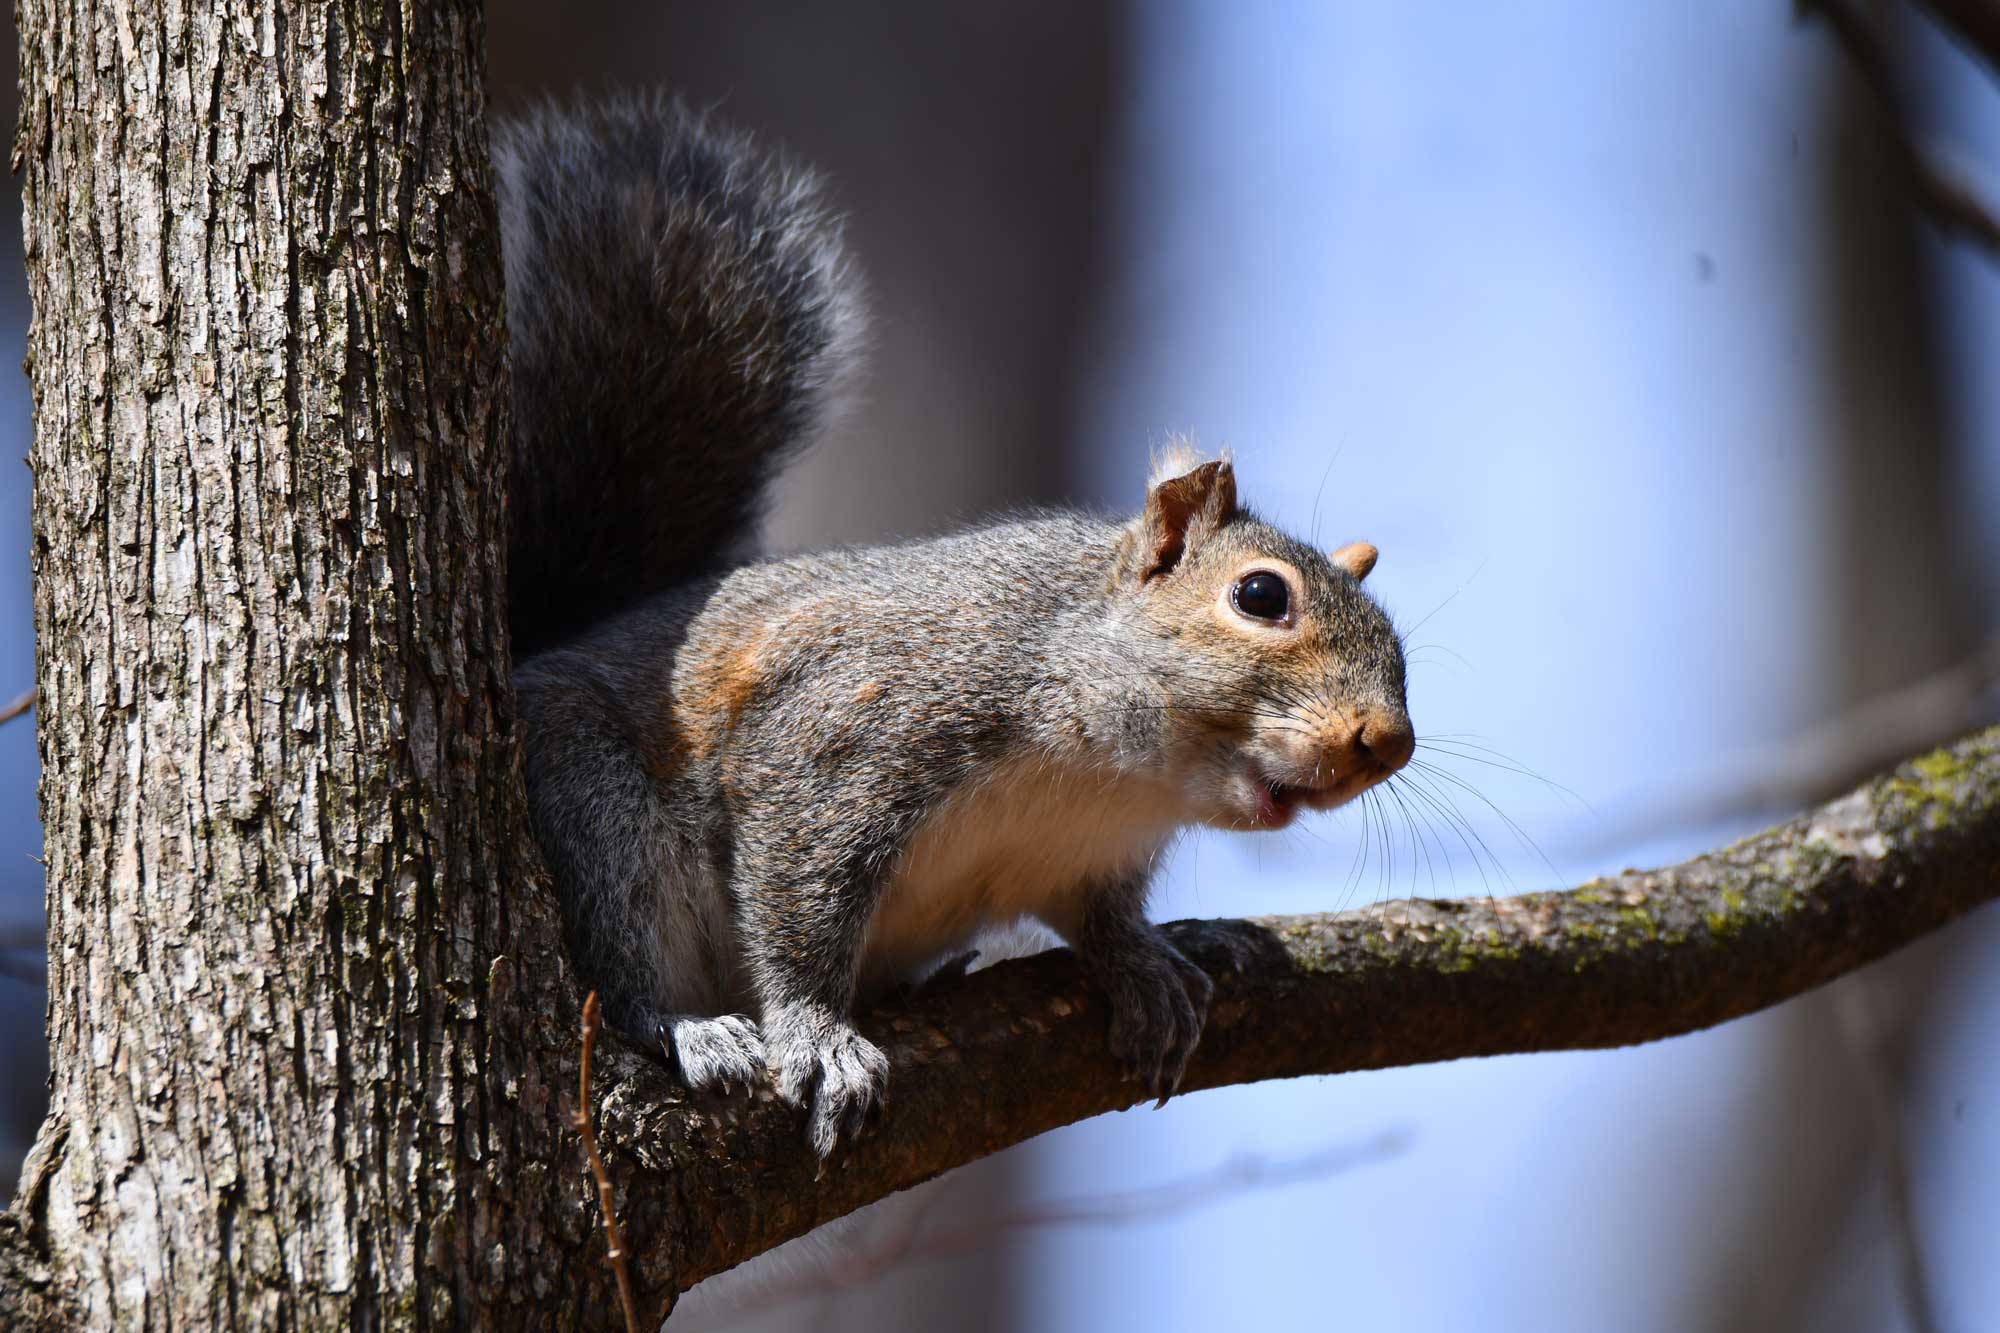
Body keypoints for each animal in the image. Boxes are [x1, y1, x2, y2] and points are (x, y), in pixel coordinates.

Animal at [499, 95, 1415, 1159]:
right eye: (1262, 597)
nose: (1388, 741)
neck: (1106, 771)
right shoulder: (844, 741)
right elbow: (798, 904)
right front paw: (819, 1036)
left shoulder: (1088, 854)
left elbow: (1100, 916)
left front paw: (1142, 963)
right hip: (594, 797)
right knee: (620, 952)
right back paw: (689, 1026)